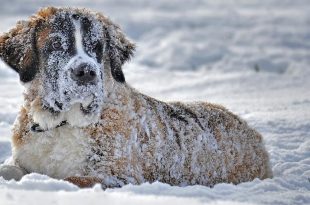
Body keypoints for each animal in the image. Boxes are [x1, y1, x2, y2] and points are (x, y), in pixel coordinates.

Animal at [0, 7, 272, 188]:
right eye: (56, 45)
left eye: (97, 47)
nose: (86, 72)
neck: (62, 124)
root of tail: (252, 133)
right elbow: (9, 168)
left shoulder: (120, 176)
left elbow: (71, 179)